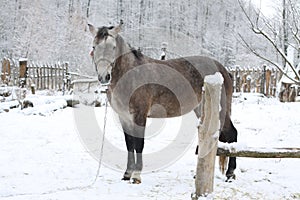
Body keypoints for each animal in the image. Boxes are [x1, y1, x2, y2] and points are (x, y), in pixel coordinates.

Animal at [88, 21, 238, 184]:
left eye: (113, 47)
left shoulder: (140, 116)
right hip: (202, 110)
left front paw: (136, 176)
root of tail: (223, 70)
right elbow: (129, 144)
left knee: (231, 134)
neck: (131, 74)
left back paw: (230, 173)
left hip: (220, 110)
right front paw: (127, 174)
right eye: (94, 47)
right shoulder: (124, 117)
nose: (104, 77)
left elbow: (139, 144)